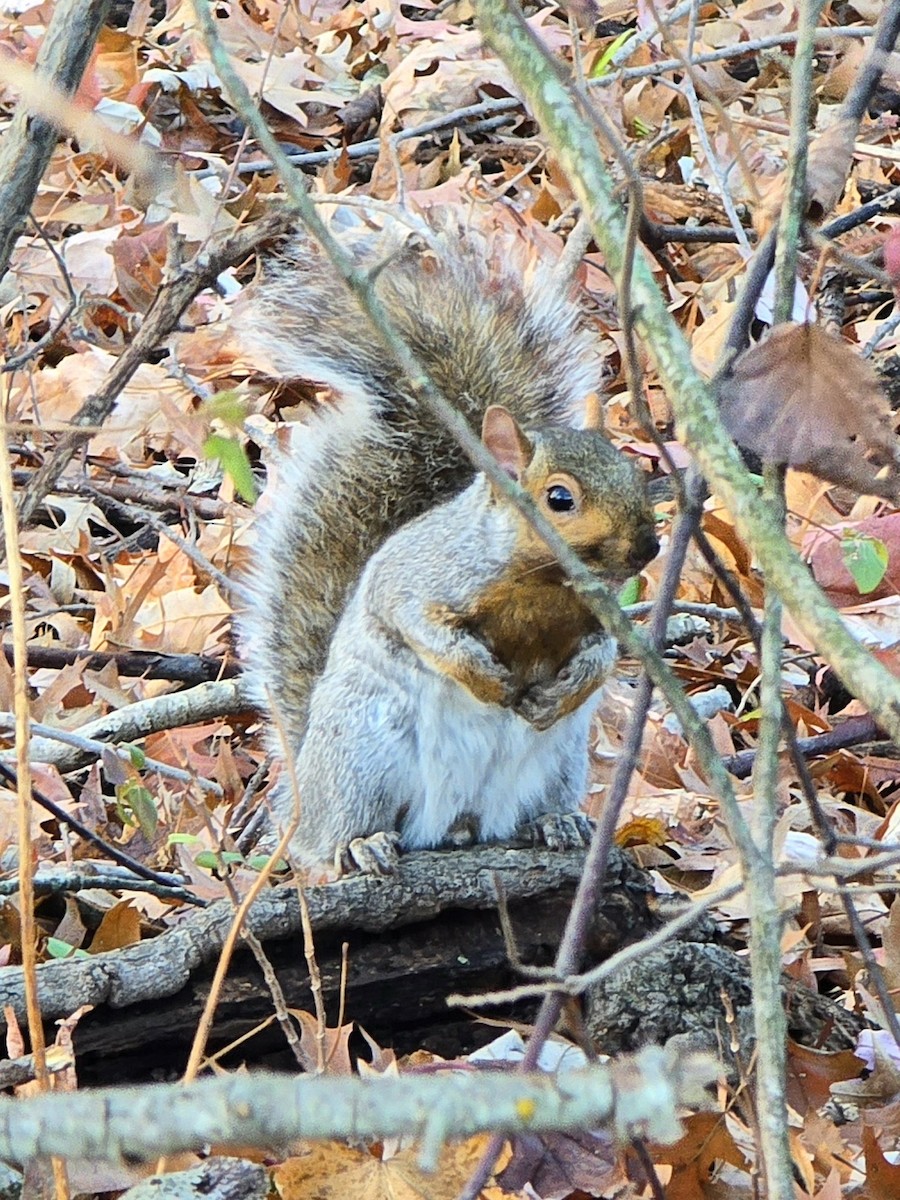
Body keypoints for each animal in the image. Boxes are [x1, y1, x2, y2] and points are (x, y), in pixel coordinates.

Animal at [237, 214, 659, 873]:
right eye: (559, 499)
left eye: (633, 471)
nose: (647, 549)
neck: (543, 582)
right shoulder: (421, 577)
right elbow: (419, 625)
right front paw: (486, 679)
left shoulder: (598, 613)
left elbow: (605, 654)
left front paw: (564, 689)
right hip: (365, 757)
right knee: (332, 840)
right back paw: (359, 844)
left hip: (555, 767)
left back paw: (557, 823)